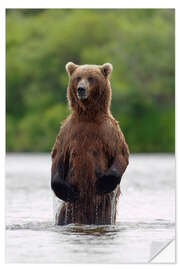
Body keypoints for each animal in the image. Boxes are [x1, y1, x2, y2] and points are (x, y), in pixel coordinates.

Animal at [51, 62, 129, 225]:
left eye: (91, 78)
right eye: (78, 77)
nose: (81, 89)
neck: (88, 115)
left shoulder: (110, 131)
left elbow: (121, 154)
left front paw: (103, 183)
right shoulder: (67, 132)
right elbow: (58, 156)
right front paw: (66, 191)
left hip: (105, 210)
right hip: (68, 210)